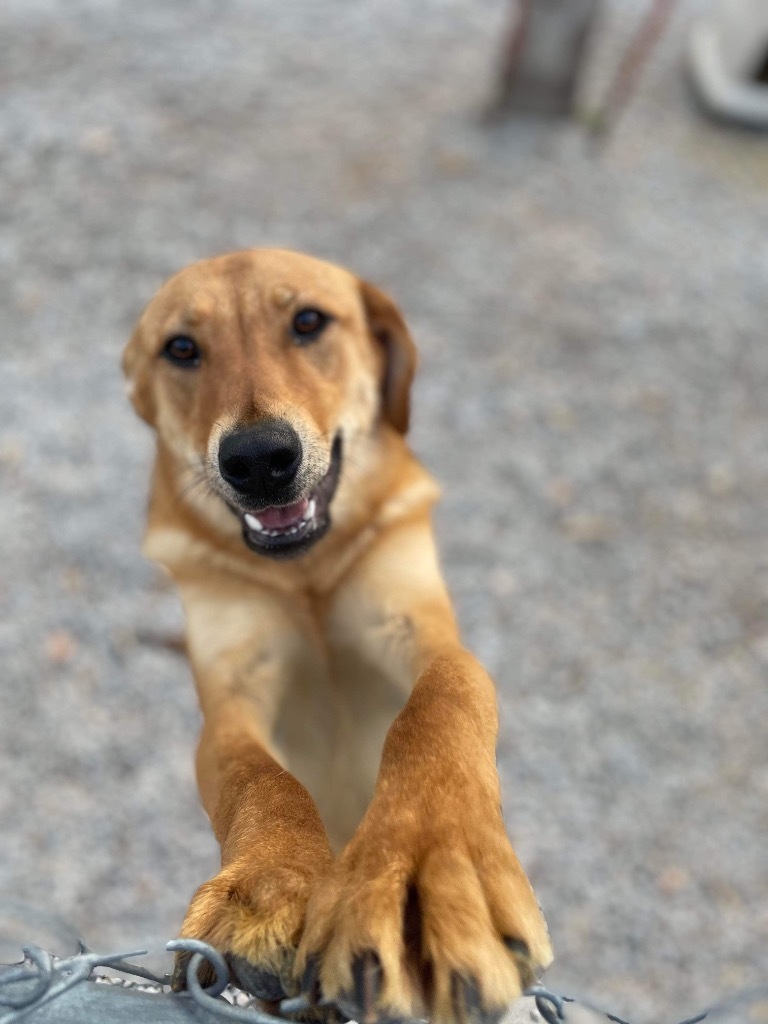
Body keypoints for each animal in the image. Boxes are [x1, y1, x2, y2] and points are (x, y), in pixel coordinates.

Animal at [123, 249, 548, 1024]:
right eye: (182, 348)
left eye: (309, 321)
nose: (258, 459)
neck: (307, 576)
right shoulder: (232, 697)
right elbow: (260, 778)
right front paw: (267, 889)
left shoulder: (422, 633)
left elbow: (440, 705)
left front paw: (426, 869)